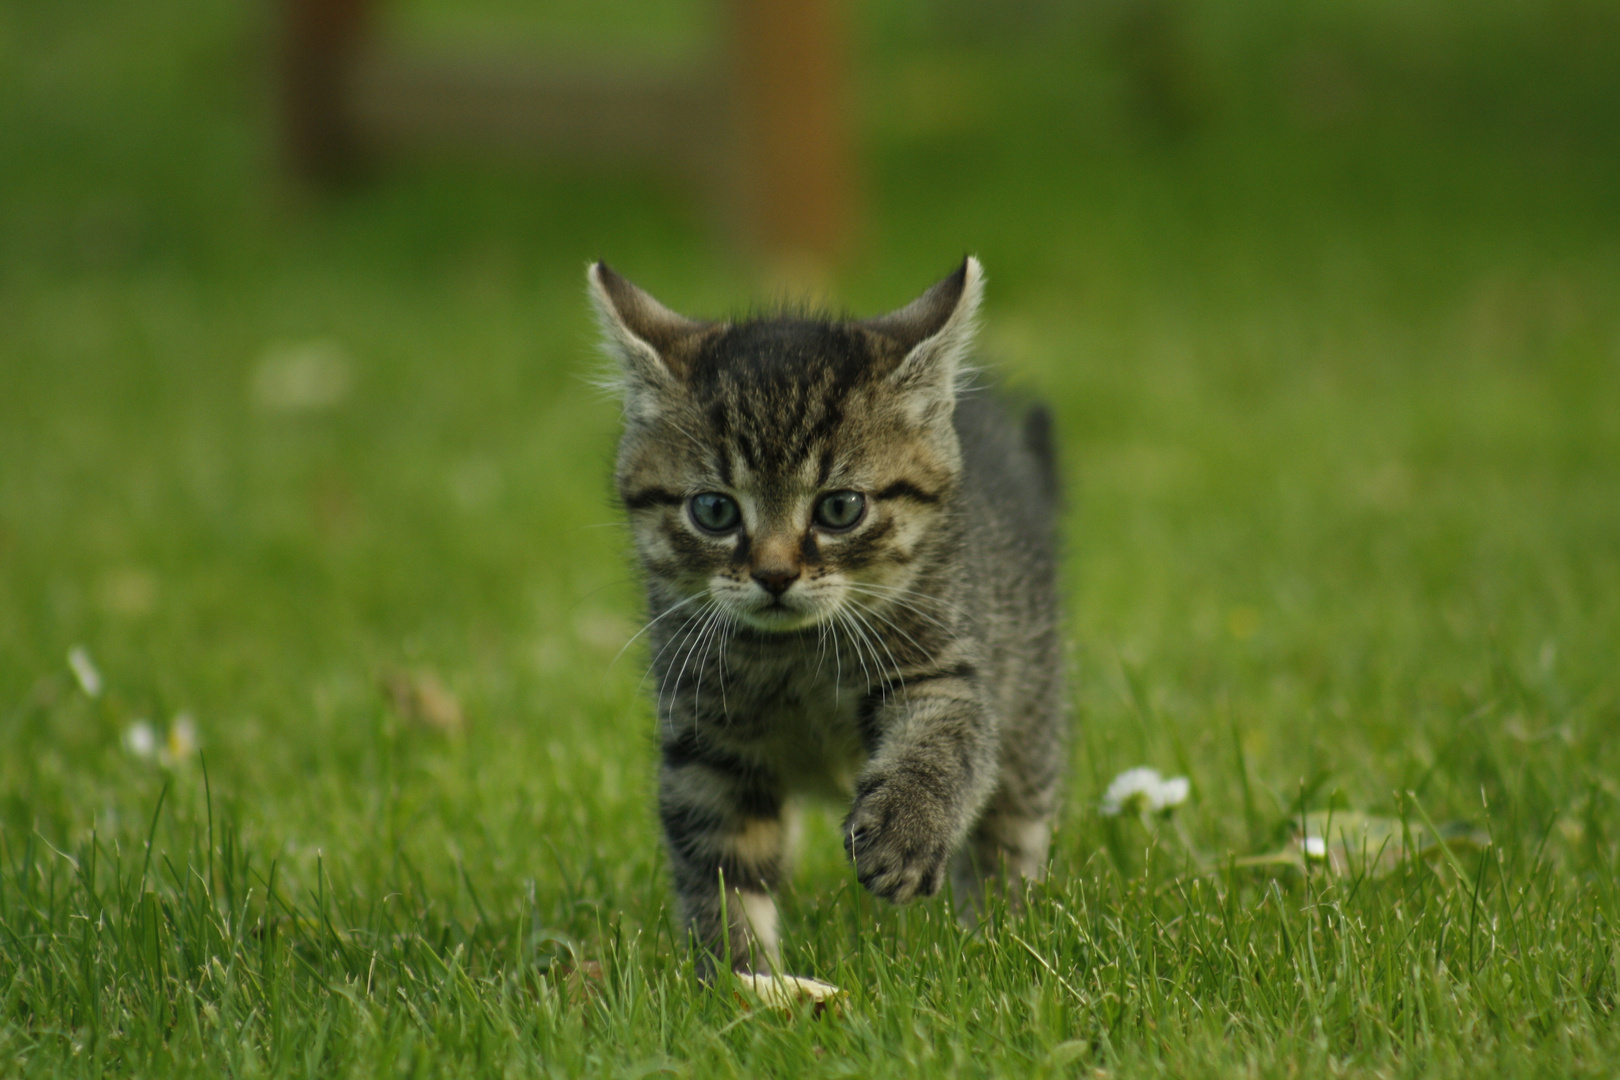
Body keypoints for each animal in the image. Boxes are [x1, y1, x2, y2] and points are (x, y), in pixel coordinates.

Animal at [592, 255, 1062, 977]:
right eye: (715, 510)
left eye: (840, 509)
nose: (774, 574)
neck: (794, 658)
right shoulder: (706, 737)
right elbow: (724, 862)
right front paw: (739, 974)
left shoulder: (946, 666)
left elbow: (946, 744)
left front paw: (906, 830)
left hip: (1032, 690)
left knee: (1013, 827)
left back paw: (1003, 935)